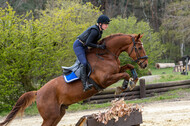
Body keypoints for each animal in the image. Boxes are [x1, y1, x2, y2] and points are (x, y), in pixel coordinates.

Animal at [0, 33, 148, 126]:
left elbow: (128, 67)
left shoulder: (116, 70)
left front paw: (133, 80)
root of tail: (38, 92)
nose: (145, 64)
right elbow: (125, 75)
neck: (106, 54)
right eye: (139, 47)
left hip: (58, 114)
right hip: (50, 116)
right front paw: (122, 87)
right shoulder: (106, 79)